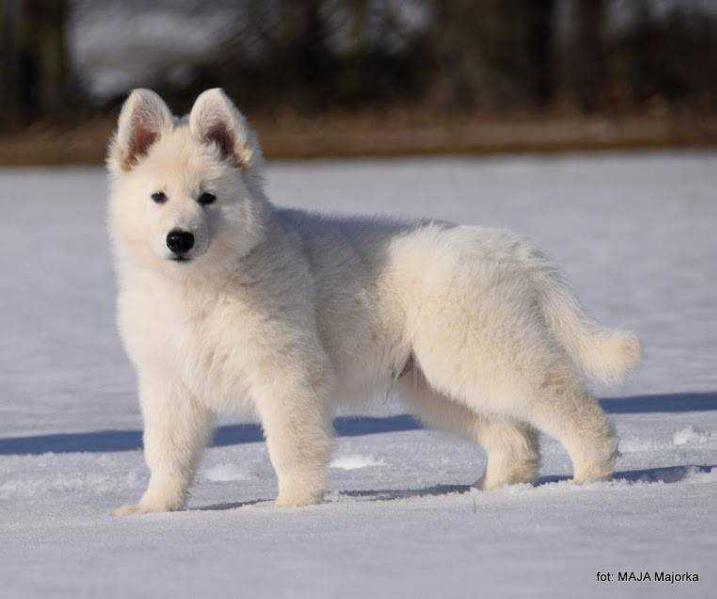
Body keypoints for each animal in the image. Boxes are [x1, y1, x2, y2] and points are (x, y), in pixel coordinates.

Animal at [109, 89, 640, 516]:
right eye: (158, 197)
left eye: (208, 197)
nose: (179, 239)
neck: (200, 287)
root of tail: (512, 249)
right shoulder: (169, 383)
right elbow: (167, 453)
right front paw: (154, 509)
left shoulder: (286, 372)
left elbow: (290, 444)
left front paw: (291, 506)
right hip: (437, 383)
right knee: (514, 438)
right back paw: (486, 491)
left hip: (484, 355)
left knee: (563, 399)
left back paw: (591, 475)